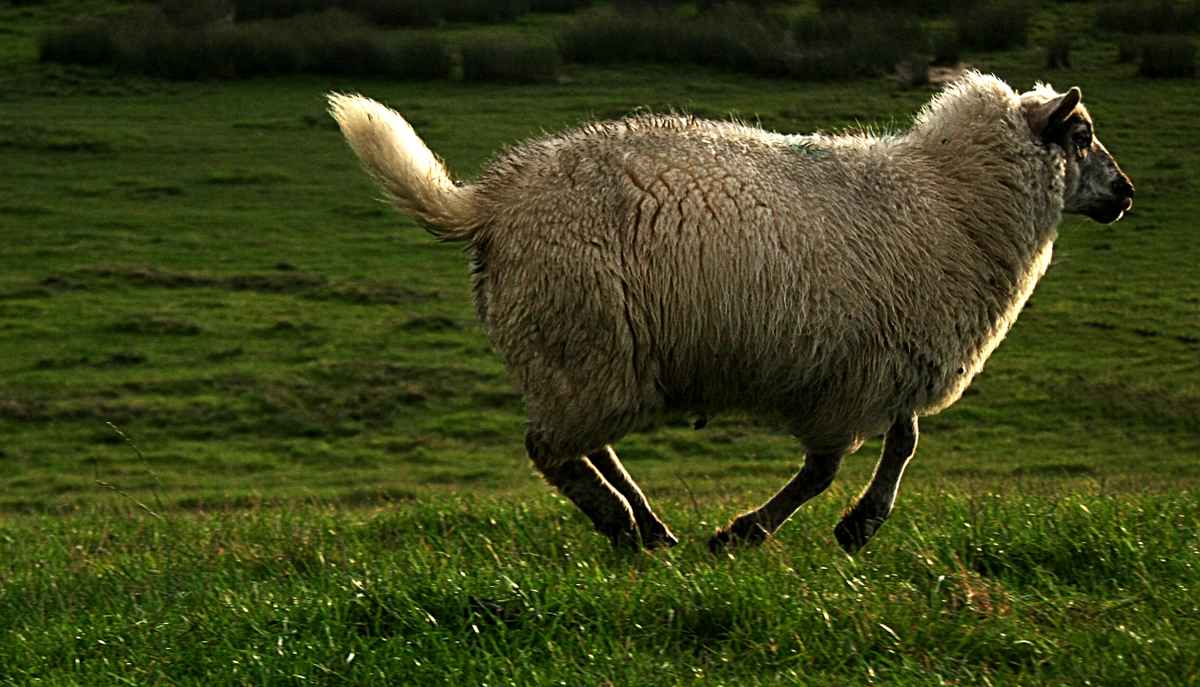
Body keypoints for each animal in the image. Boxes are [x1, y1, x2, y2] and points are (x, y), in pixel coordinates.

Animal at [328, 71, 1134, 553]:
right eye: (1081, 136)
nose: (1126, 194)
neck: (951, 199)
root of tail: (494, 198)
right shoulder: (849, 376)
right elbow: (826, 469)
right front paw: (751, 532)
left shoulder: (886, 359)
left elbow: (901, 444)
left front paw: (859, 526)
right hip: (582, 339)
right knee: (552, 450)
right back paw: (624, 526)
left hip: (588, 355)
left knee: (586, 445)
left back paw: (648, 523)